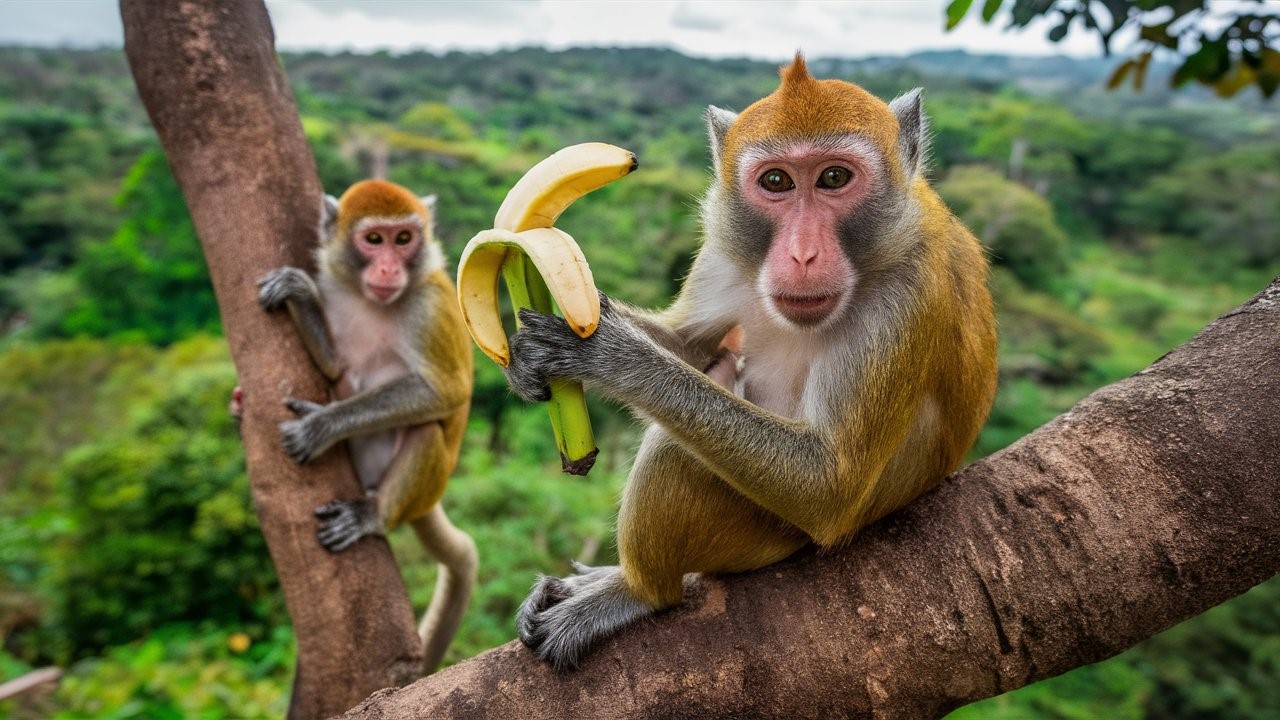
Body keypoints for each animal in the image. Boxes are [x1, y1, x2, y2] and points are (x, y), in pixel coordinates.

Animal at [255, 179, 477, 672]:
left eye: (404, 239)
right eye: (374, 239)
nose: (390, 267)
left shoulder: (428, 308)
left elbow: (444, 392)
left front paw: (322, 427)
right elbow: (335, 366)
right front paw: (300, 297)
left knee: (424, 429)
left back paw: (374, 514)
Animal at [503, 54, 998, 670]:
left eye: (834, 178)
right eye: (776, 182)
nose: (802, 254)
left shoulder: (908, 296)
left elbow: (828, 483)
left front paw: (610, 356)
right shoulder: (725, 246)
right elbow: (691, 345)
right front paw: (528, 355)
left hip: (761, 538)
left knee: (674, 451)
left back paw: (636, 591)